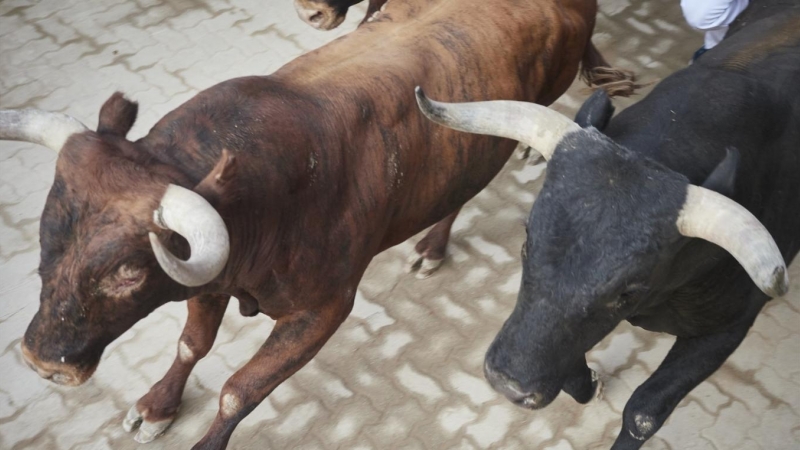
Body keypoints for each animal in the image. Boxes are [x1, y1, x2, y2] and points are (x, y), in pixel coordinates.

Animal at [1, 1, 636, 448]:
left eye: (129, 271)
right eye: (45, 233)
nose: (41, 362)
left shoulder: (324, 311)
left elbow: (238, 393)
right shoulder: (204, 278)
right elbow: (191, 344)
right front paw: (156, 406)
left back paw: (439, 240)